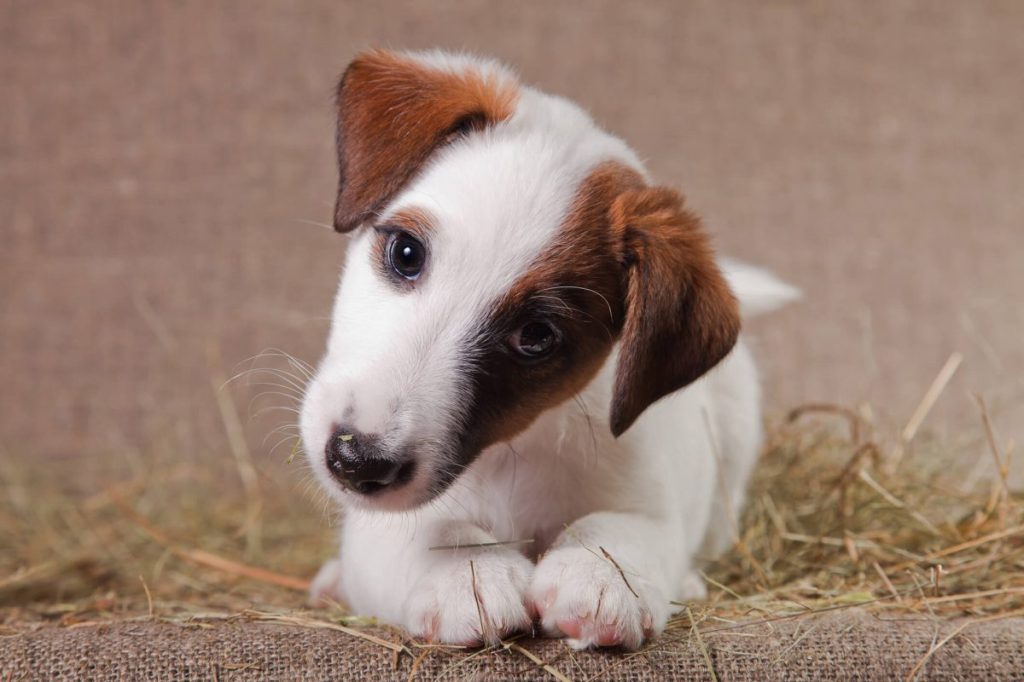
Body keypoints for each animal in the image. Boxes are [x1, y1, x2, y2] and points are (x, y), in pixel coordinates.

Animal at [299, 49, 794, 647]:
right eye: (406, 253)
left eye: (536, 336)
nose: (356, 461)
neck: (509, 458)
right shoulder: (375, 529)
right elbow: (425, 530)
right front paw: (467, 572)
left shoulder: (652, 508)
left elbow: (617, 527)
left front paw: (600, 574)